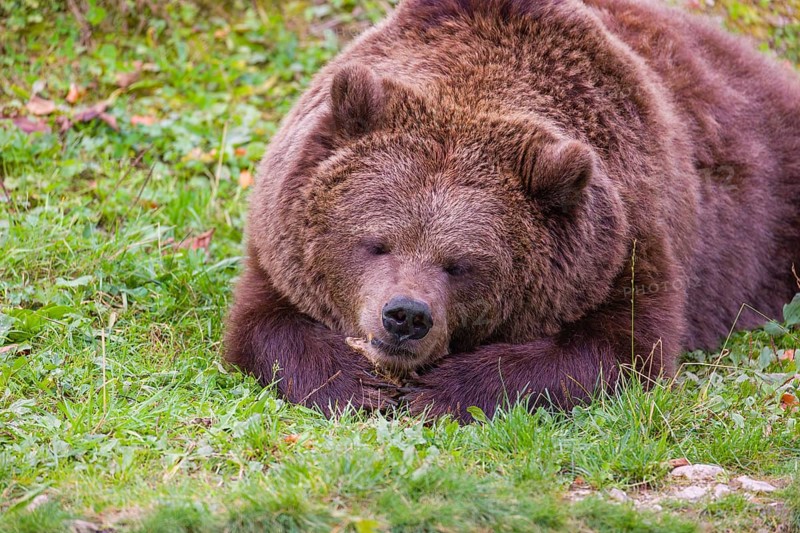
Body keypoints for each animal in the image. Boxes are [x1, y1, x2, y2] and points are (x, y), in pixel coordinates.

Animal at [225, 0, 800, 422]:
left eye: (458, 264)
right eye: (376, 242)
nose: (406, 316)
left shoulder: (628, 239)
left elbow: (619, 352)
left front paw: (440, 389)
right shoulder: (278, 235)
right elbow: (262, 325)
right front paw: (357, 384)